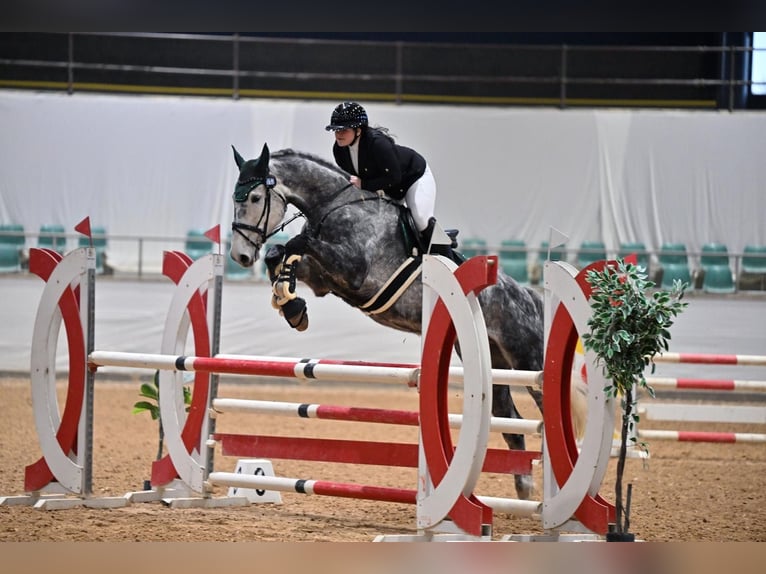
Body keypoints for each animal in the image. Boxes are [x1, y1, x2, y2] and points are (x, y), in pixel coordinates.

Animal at [229, 143, 549, 500]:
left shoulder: (355, 271)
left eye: (255, 197)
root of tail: (529, 296)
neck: (332, 207)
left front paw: (290, 297)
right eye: (235, 198)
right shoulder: (326, 281)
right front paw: (292, 306)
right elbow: (281, 254)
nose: (240, 256)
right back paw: (524, 494)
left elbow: (298, 244)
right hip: (492, 363)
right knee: (512, 424)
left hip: (527, 360)